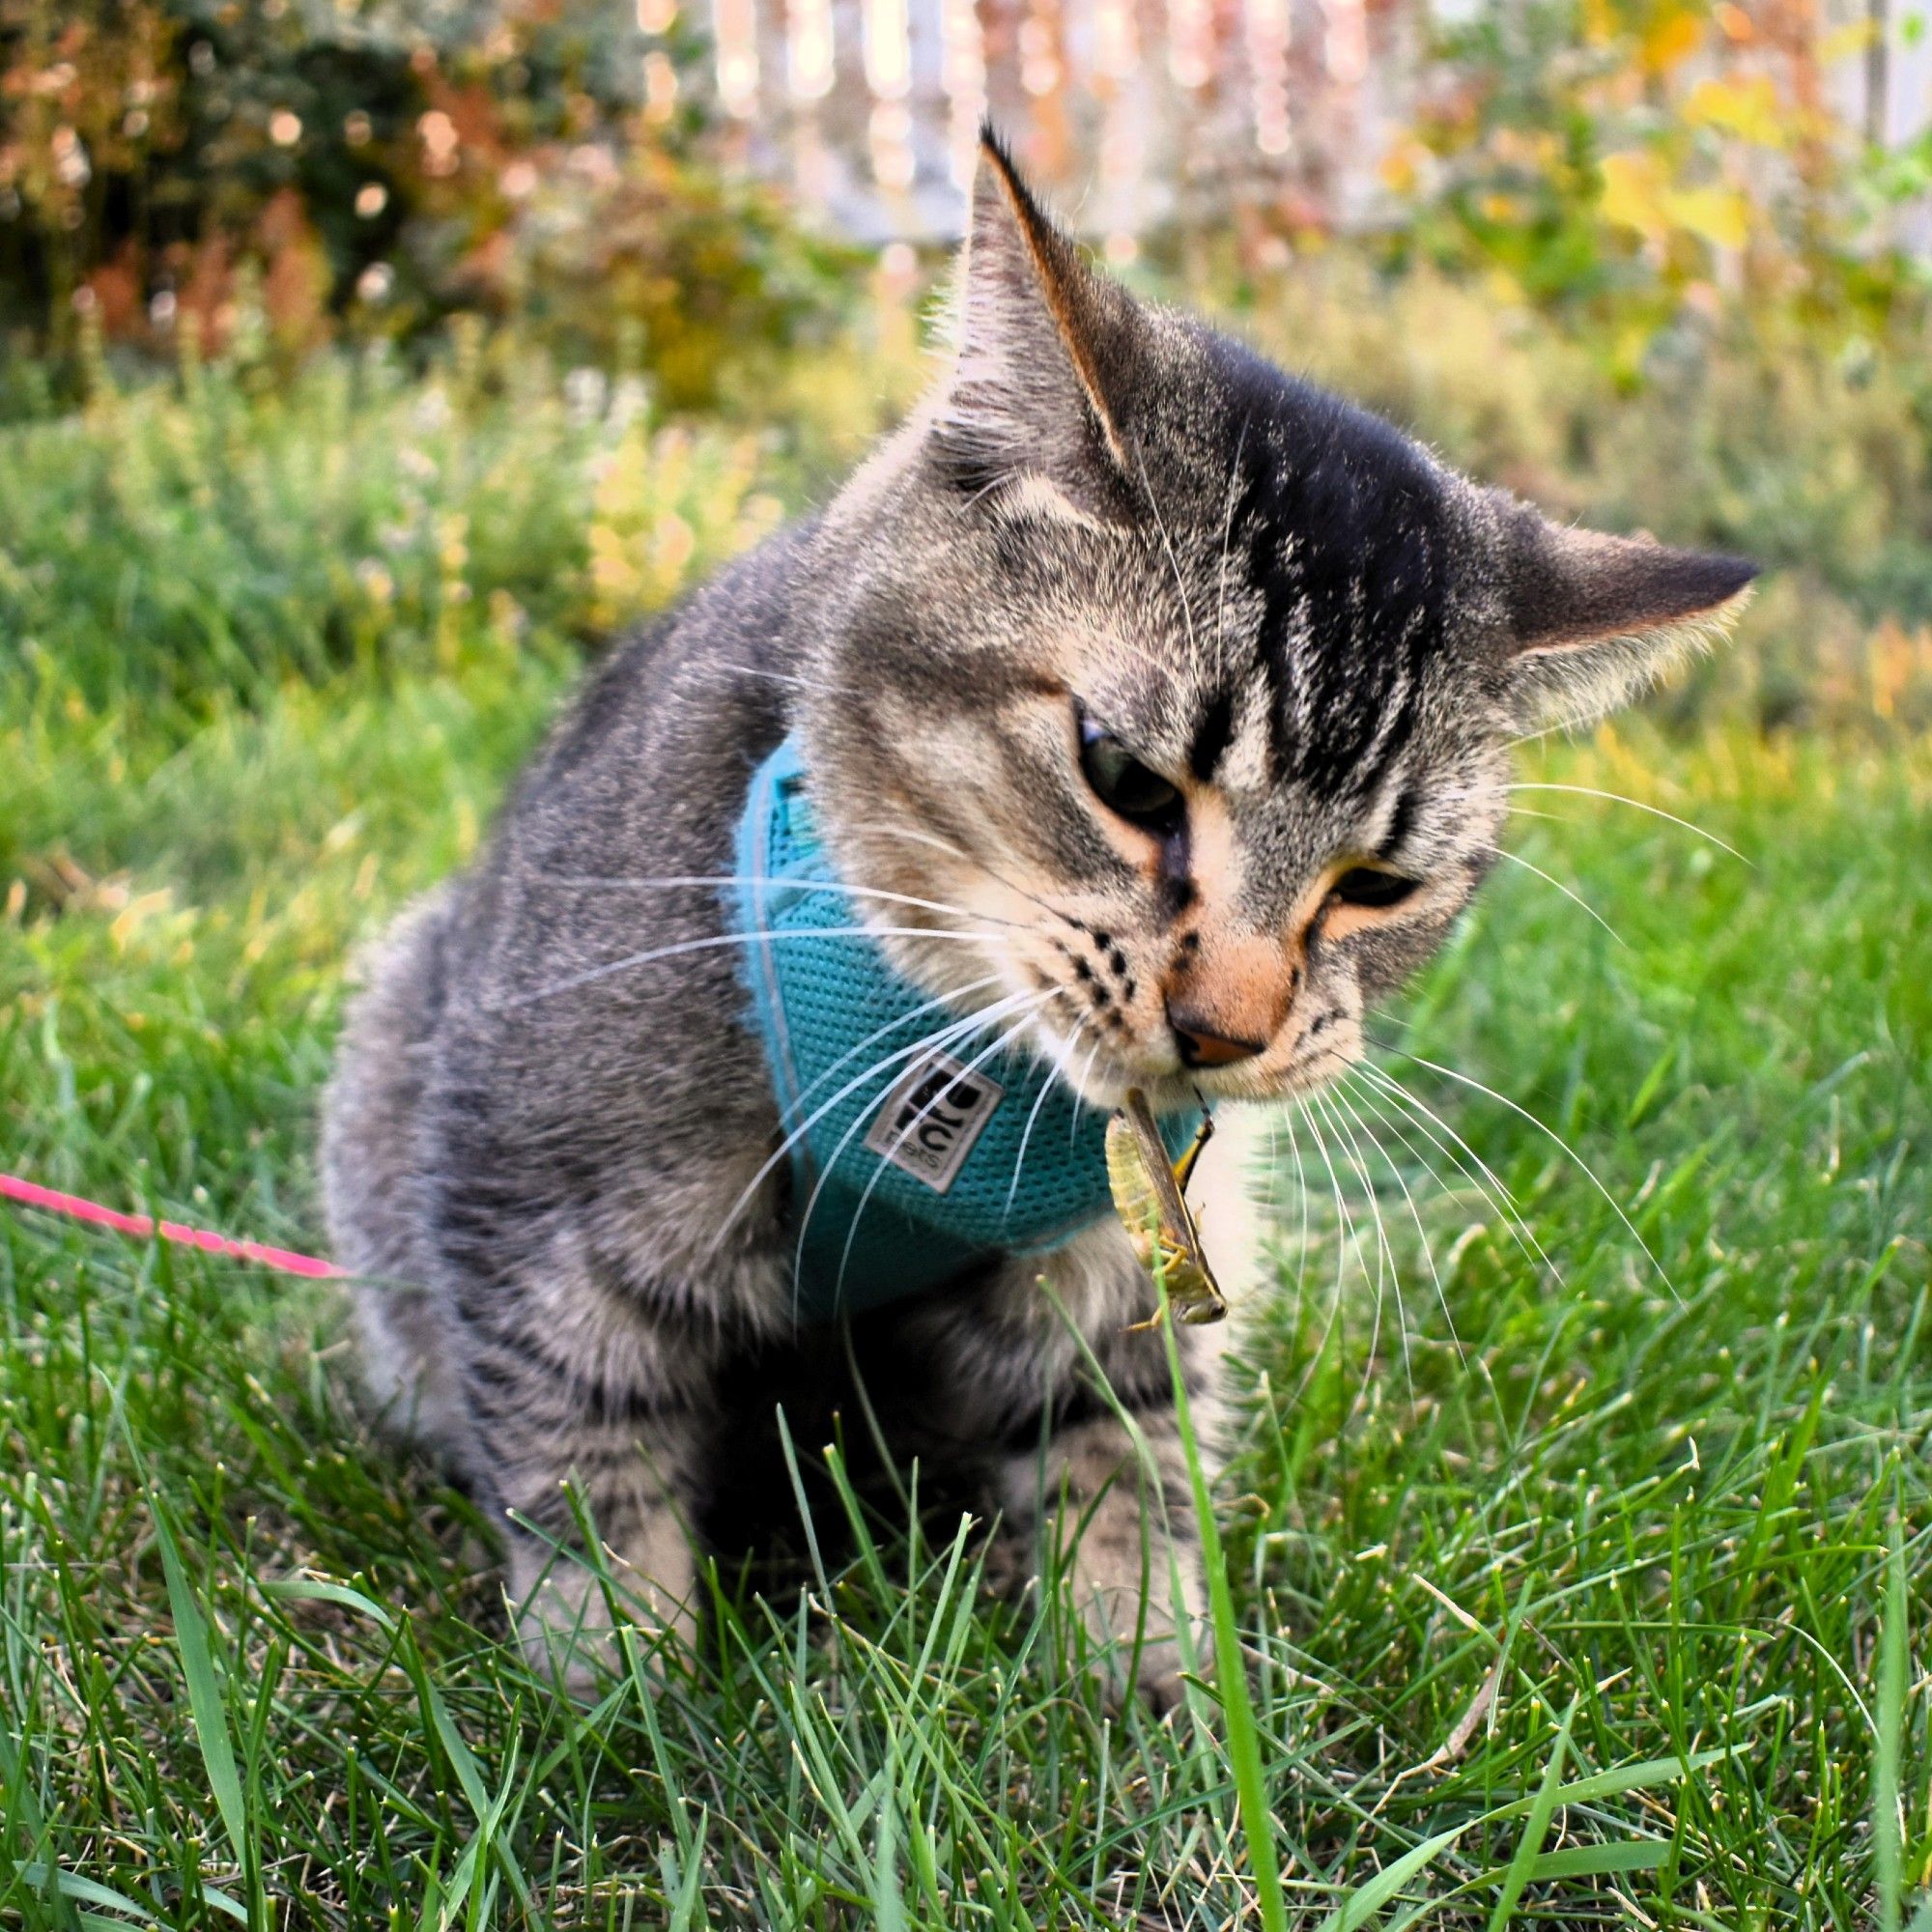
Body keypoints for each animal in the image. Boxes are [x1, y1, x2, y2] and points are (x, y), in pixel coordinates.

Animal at [325, 125, 1762, 1708]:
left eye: (1378, 886)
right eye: (1124, 776)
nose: (1226, 1029)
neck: (960, 1063)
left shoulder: (1114, 1282)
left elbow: (1123, 1463)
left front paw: (1154, 1674)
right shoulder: (534, 1193)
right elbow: (585, 1456)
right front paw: (617, 1684)